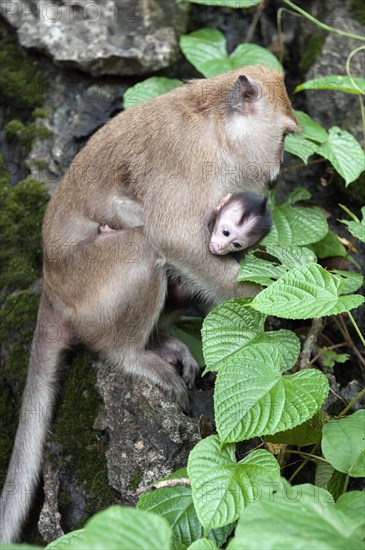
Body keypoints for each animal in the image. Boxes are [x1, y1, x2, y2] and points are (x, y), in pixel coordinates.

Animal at [0, 66, 298, 544]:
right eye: (286, 135)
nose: (278, 168)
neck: (215, 125)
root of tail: (52, 288)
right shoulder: (190, 163)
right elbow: (173, 237)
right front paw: (262, 302)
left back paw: (162, 341)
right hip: (89, 284)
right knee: (143, 249)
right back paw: (133, 355)